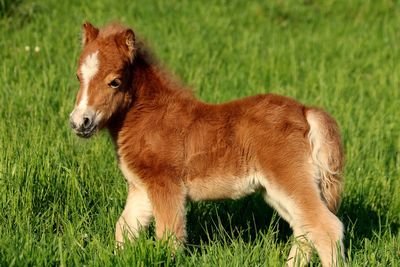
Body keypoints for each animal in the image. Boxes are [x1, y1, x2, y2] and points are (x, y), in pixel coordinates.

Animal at [70, 23, 346, 267]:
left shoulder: (166, 186)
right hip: (276, 191)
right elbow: (124, 228)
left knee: (326, 227)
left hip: (290, 179)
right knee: (304, 229)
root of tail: (305, 112)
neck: (150, 116)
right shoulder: (142, 189)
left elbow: (169, 236)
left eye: (115, 81)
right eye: (78, 77)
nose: (79, 122)